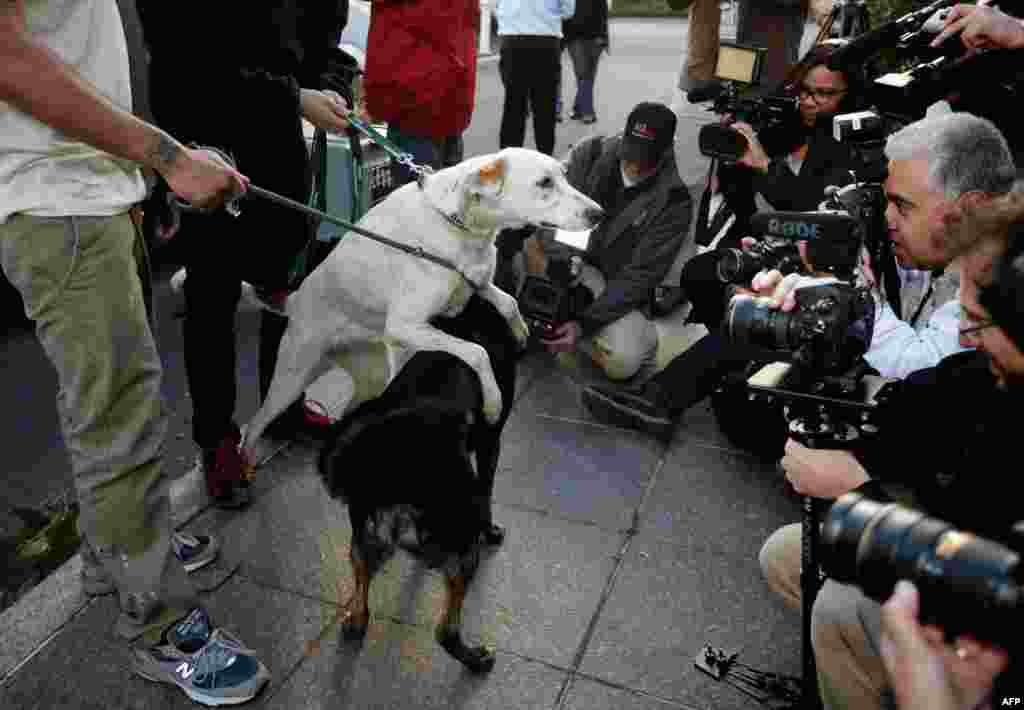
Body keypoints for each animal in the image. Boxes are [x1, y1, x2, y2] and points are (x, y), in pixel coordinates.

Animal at [178, 146, 598, 467]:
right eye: (544, 183)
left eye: (564, 175)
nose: (598, 213)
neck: (459, 224)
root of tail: (296, 299)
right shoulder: (406, 326)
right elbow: (476, 351)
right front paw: (493, 401)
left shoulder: (471, 289)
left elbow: (508, 301)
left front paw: (520, 330)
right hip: (291, 378)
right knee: (255, 424)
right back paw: (245, 462)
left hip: (373, 375)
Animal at [317, 293, 520, 672]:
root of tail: (389, 487)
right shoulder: (491, 439)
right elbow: (488, 489)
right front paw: (492, 530)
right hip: (463, 547)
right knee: (445, 630)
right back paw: (475, 659)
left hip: (362, 541)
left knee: (362, 588)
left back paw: (356, 622)